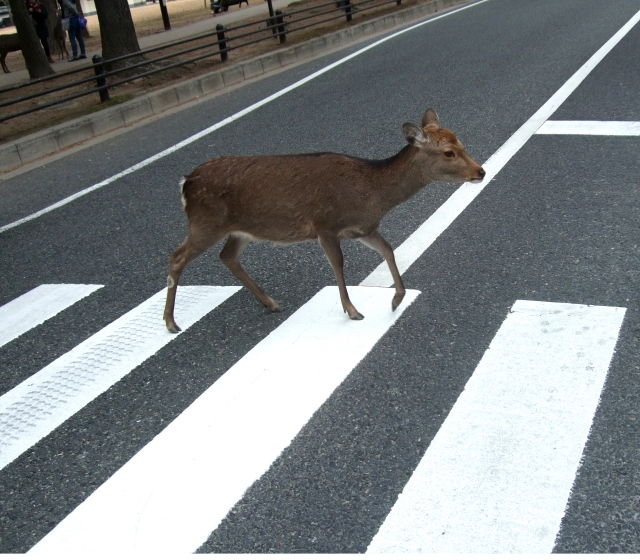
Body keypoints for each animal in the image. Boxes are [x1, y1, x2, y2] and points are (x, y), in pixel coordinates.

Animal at [164, 109, 484, 332]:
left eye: (462, 143)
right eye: (448, 152)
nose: (480, 171)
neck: (372, 193)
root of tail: (185, 182)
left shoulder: (363, 227)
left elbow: (388, 250)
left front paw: (396, 300)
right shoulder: (325, 225)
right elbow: (338, 264)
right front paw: (353, 310)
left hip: (239, 229)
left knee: (227, 256)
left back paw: (271, 303)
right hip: (206, 222)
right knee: (177, 256)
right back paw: (170, 322)